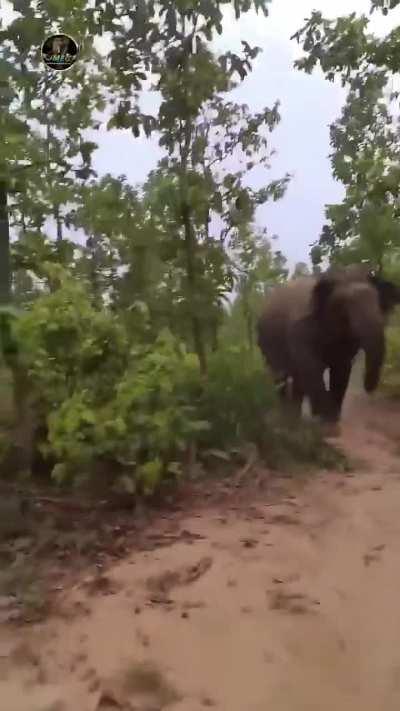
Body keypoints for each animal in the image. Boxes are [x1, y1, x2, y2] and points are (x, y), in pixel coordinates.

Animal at [257, 266, 400, 424]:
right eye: (345, 304)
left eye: (377, 301)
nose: (368, 389)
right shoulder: (300, 329)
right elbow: (311, 366)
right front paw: (325, 416)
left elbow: (341, 367)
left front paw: (332, 417)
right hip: (266, 343)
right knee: (280, 375)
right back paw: (287, 414)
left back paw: (295, 414)